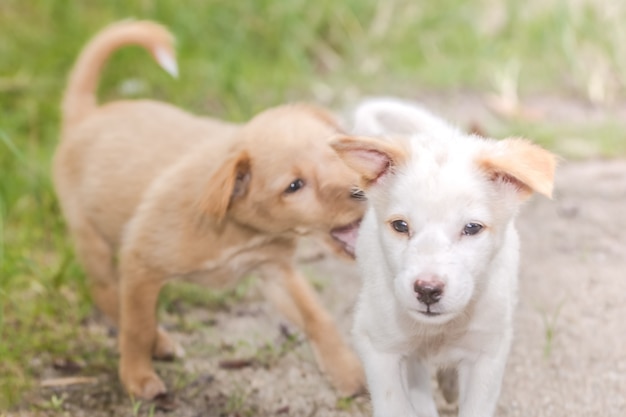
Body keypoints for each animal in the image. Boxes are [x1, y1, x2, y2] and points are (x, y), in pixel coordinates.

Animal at [54, 20, 366, 400]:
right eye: (294, 186)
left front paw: (347, 372)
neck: (242, 231)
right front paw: (137, 377)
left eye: (338, 153)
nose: (361, 190)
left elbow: (316, 316)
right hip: (90, 236)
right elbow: (137, 326)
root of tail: (86, 116)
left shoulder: (274, 270)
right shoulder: (140, 263)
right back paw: (159, 342)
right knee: (105, 292)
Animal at [330, 99, 552, 416]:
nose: (427, 290)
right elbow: (396, 405)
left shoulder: (488, 352)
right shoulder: (376, 344)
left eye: (472, 228)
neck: (442, 329)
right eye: (400, 226)